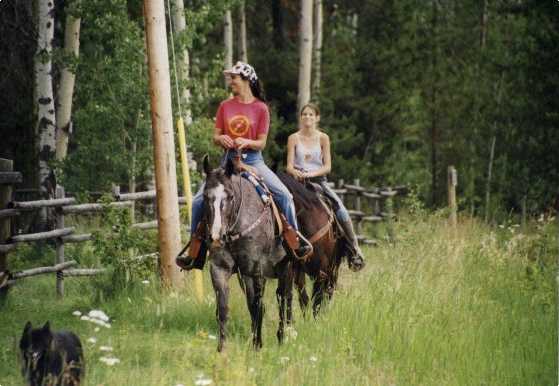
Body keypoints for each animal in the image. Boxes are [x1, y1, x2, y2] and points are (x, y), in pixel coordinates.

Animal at [203, 155, 296, 352]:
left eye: (230, 196)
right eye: (206, 196)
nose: (216, 237)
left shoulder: (256, 271)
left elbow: (257, 305)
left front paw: (257, 344)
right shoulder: (219, 268)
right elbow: (223, 307)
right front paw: (222, 348)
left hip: (287, 268)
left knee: (284, 298)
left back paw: (283, 335)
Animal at [276, 172, 364, 316]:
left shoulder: (322, 271)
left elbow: (317, 302)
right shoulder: (295, 269)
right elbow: (301, 298)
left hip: (333, 268)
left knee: (328, 292)